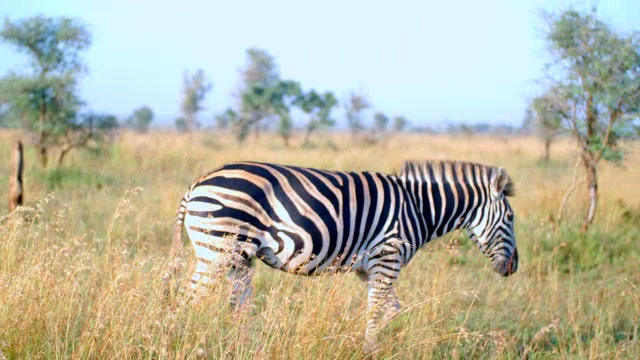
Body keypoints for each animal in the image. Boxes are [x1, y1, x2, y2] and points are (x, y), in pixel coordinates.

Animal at [168, 160, 516, 352]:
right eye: (511, 219)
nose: (512, 269)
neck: (419, 208)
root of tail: (197, 183)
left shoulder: (369, 268)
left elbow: (391, 309)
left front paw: (356, 342)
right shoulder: (386, 259)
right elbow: (376, 312)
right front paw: (367, 348)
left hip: (237, 257)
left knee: (237, 307)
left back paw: (242, 347)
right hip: (217, 250)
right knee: (187, 301)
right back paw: (178, 340)